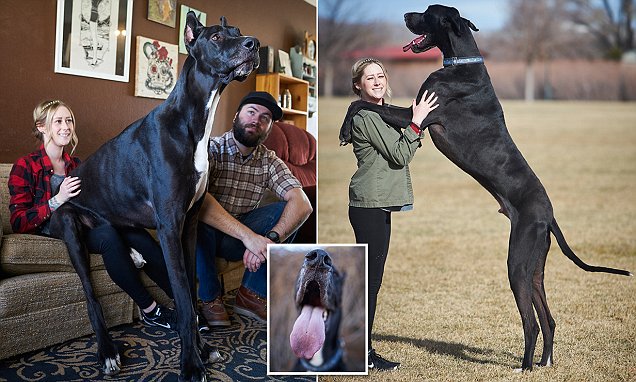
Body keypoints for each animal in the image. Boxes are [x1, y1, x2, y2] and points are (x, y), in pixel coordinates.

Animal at [48, 11, 258, 382]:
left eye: (237, 31)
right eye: (217, 37)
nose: (255, 44)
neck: (193, 123)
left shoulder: (189, 225)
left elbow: (190, 291)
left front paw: (201, 350)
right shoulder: (170, 225)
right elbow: (185, 302)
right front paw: (191, 363)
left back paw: (132, 253)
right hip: (71, 226)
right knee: (90, 294)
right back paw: (107, 351)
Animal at [340, 4, 628, 372]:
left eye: (427, 12)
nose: (405, 14)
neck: (461, 63)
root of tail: (549, 215)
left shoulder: (417, 114)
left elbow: (362, 104)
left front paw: (346, 129)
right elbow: (365, 104)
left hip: (517, 262)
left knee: (531, 322)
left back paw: (524, 366)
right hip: (535, 266)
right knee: (548, 318)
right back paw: (544, 362)